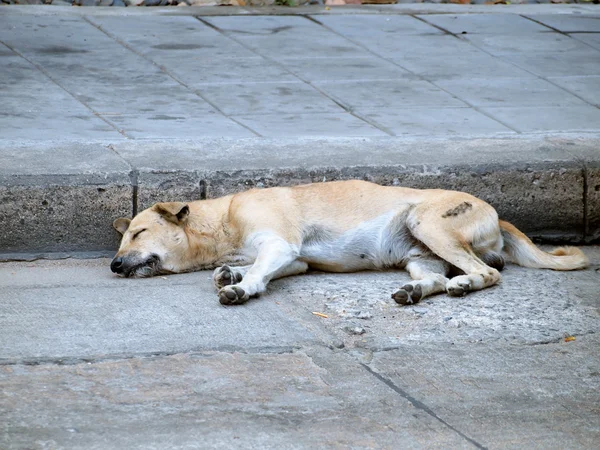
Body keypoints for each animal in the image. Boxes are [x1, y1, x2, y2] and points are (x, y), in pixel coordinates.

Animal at [110, 180, 588, 306]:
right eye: (126, 237)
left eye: (138, 233)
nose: (113, 266)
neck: (222, 220)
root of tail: (498, 213)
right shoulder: (295, 260)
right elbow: (253, 266)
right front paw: (231, 272)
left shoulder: (280, 247)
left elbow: (259, 271)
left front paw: (241, 287)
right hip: (421, 255)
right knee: (438, 278)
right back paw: (416, 291)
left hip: (427, 224)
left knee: (486, 272)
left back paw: (466, 285)